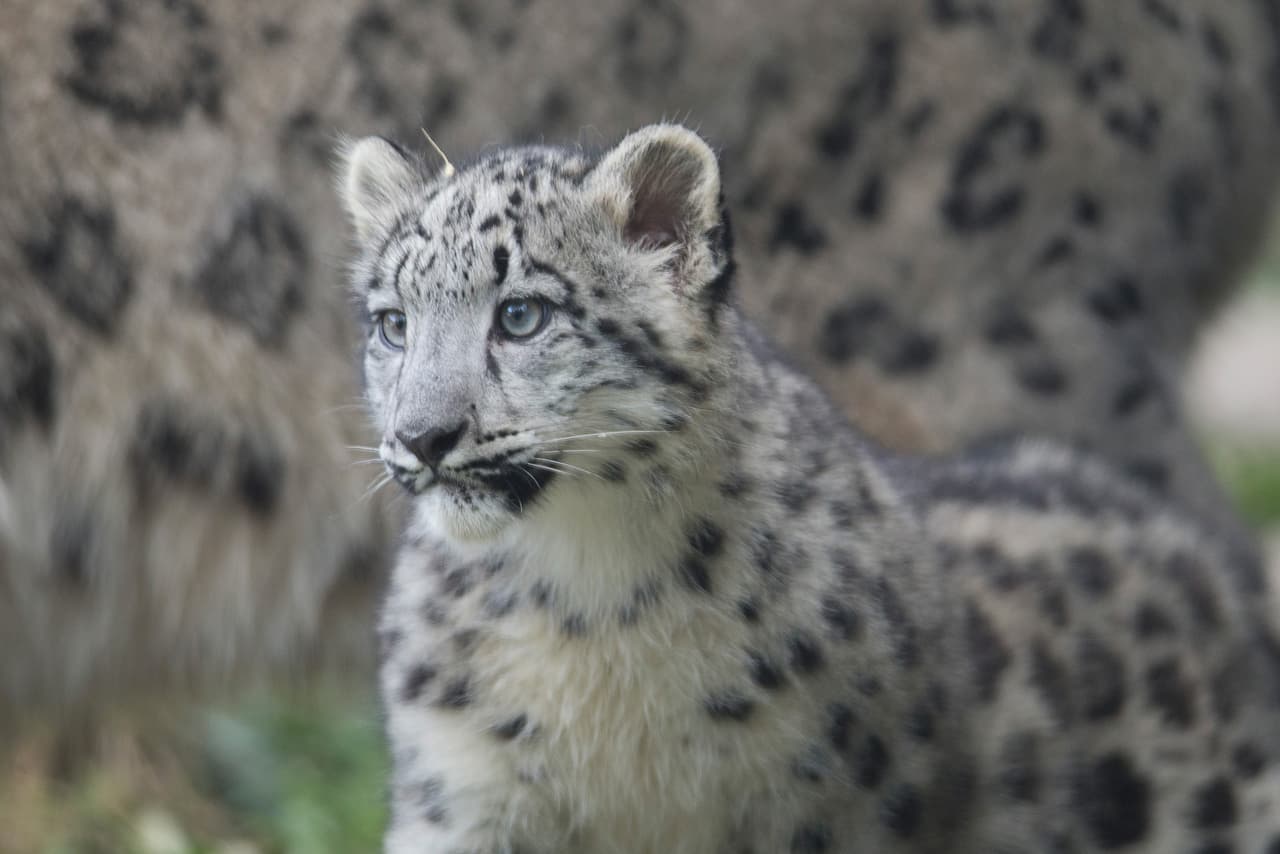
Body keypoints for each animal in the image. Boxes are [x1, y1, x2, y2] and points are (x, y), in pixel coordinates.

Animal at [343, 123, 1280, 854]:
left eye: (521, 315)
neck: (585, 600)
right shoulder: (462, 787)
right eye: (393, 323)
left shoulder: (818, 806)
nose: (422, 437)